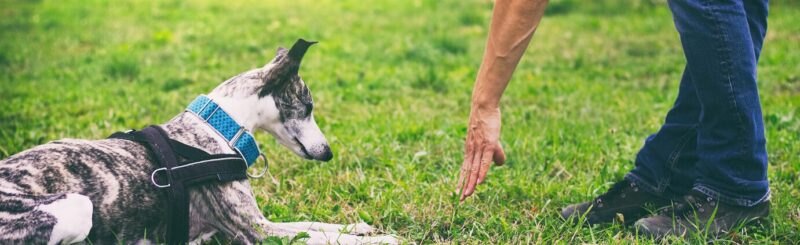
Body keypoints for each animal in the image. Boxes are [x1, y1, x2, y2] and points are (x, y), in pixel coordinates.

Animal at [0, 39, 398, 244]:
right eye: (309, 106)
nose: (328, 153)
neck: (218, 127)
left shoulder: (260, 222)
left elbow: (317, 225)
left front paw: (359, 227)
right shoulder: (255, 230)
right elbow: (316, 236)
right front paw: (382, 239)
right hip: (75, 207)